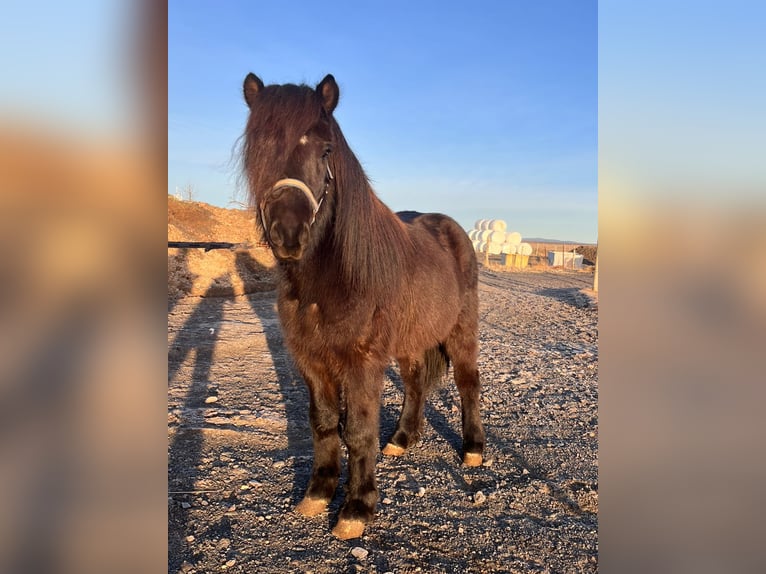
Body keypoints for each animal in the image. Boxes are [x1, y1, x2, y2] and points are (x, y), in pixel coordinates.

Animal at [241, 73, 485, 539]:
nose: (289, 232)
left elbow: (357, 430)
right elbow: (322, 422)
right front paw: (318, 494)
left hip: (461, 330)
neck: (331, 279)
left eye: (326, 150)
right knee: (414, 384)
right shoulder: (311, 360)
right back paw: (402, 440)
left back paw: (474, 449)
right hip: (411, 340)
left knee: (468, 383)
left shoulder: (362, 361)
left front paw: (356, 509)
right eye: (257, 147)